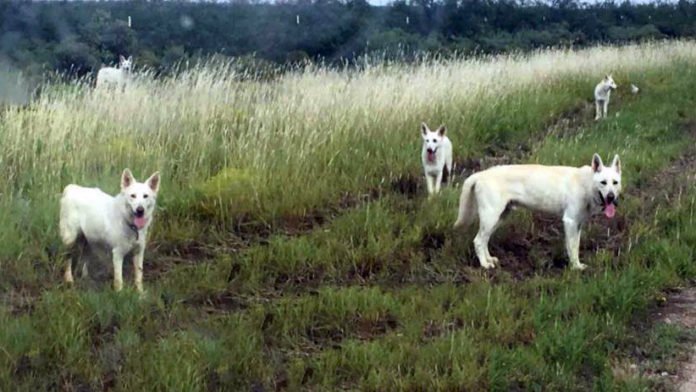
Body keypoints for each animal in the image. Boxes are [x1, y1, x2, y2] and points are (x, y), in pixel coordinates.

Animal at [454, 153, 624, 270]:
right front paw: (575, 267)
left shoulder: (578, 224)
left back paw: (490, 260)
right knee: (478, 241)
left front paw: (576, 265)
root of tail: (480, 174)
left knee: (484, 241)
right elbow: (573, 248)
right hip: (491, 218)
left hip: (499, 218)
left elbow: (575, 245)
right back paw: (485, 265)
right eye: (603, 183)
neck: (585, 184)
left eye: (615, 183)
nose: (611, 197)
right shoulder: (569, 221)